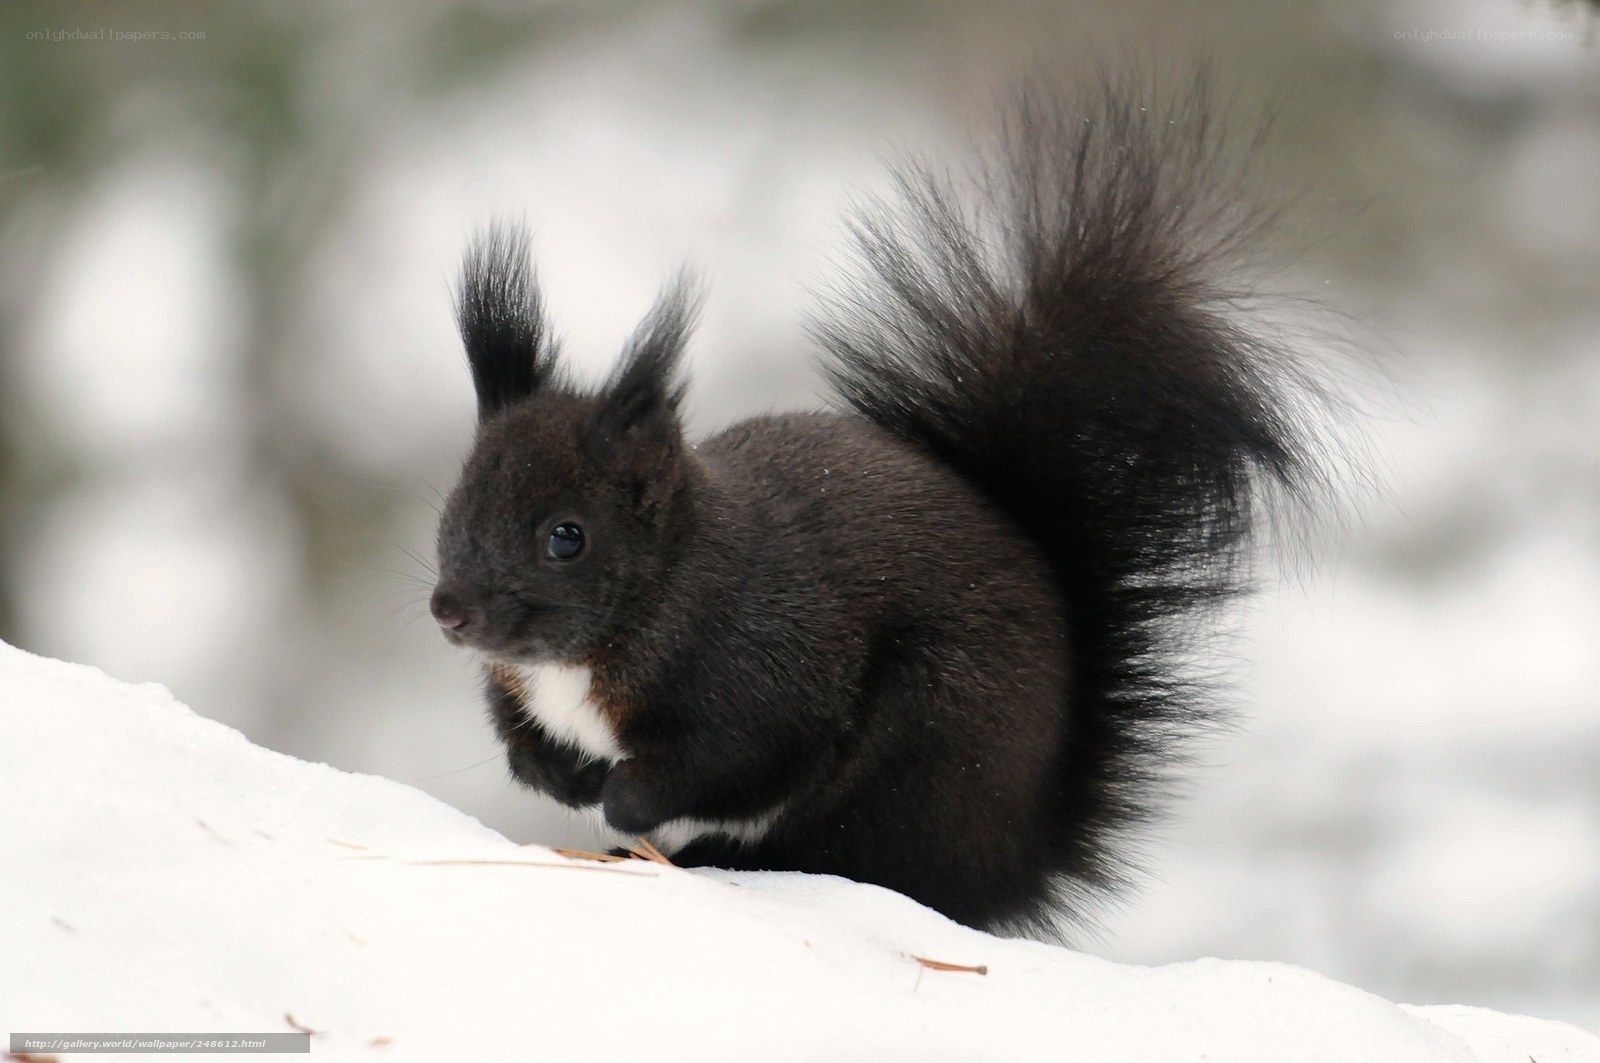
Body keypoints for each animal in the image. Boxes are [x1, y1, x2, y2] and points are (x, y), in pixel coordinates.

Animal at [428, 70, 1334, 937]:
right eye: (455, 506)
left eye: (566, 537)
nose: (450, 611)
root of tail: (1021, 855)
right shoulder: (521, 688)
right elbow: (520, 737)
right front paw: (559, 774)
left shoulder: (766, 675)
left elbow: (728, 762)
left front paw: (621, 798)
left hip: (922, 746)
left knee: (854, 855)